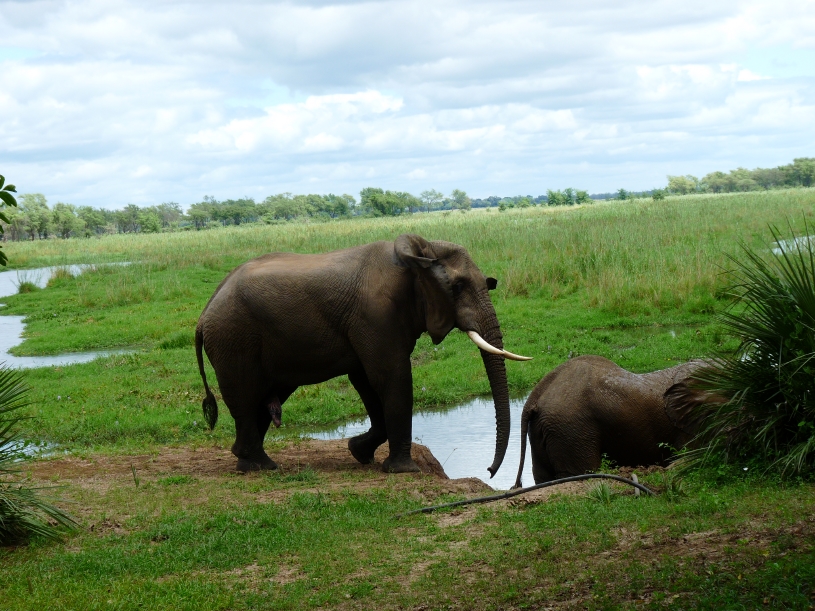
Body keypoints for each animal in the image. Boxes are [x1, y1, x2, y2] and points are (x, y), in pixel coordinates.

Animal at [195, 233, 531, 474]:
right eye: (458, 287)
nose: (489, 470)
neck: (415, 256)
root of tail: (204, 314)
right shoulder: (376, 315)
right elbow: (391, 376)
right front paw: (403, 471)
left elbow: (366, 382)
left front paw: (359, 452)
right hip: (233, 338)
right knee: (245, 395)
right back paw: (258, 466)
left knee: (265, 397)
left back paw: (253, 462)